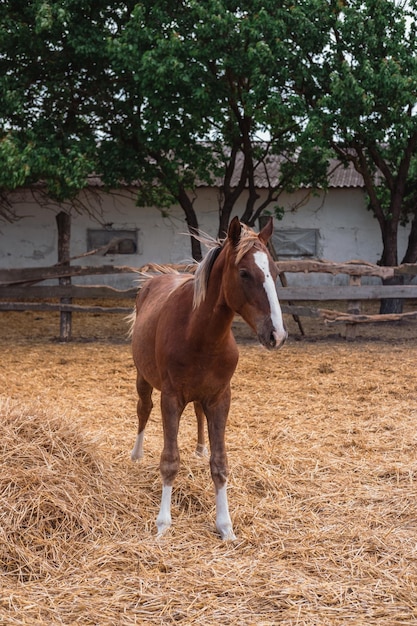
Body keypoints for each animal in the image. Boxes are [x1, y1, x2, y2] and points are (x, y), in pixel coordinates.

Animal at [130, 217, 286, 540]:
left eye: (275, 273)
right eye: (244, 273)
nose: (276, 335)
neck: (197, 332)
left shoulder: (219, 398)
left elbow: (220, 463)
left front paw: (225, 526)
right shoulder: (170, 399)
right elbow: (170, 461)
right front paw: (163, 524)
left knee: (197, 413)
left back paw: (200, 449)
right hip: (144, 379)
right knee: (143, 409)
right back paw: (136, 454)